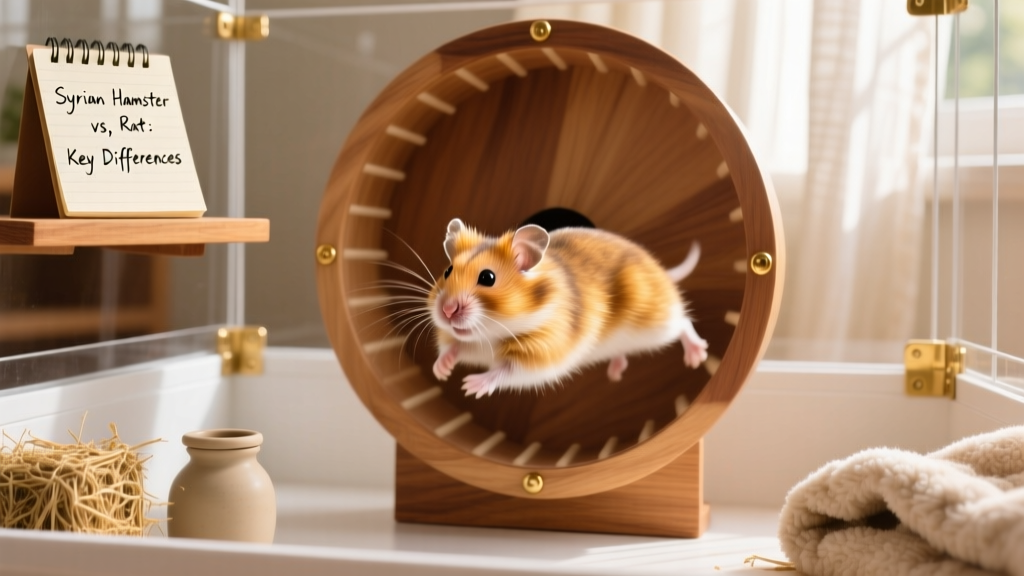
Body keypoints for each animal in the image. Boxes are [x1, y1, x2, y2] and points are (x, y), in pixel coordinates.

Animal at [429, 218, 709, 398]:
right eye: (448, 271)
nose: (447, 311)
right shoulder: (468, 344)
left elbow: (505, 371)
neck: (493, 334)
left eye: (488, 278)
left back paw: (697, 356)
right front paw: (441, 371)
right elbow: (453, 347)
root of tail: (661, 273)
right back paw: (615, 373)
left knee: (683, 322)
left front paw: (470, 386)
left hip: (656, 324)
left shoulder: (543, 356)